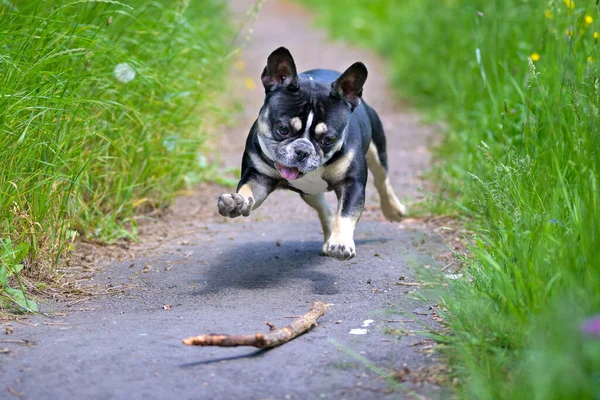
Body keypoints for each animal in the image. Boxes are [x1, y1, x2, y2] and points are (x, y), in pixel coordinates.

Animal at [218, 47, 406, 260]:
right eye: (283, 129)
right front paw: (237, 202)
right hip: (309, 193)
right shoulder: (258, 177)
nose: (302, 150)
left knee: (382, 181)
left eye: (328, 140)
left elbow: (346, 214)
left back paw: (393, 210)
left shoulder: (352, 184)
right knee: (325, 210)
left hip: (377, 150)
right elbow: (248, 190)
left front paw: (340, 242)